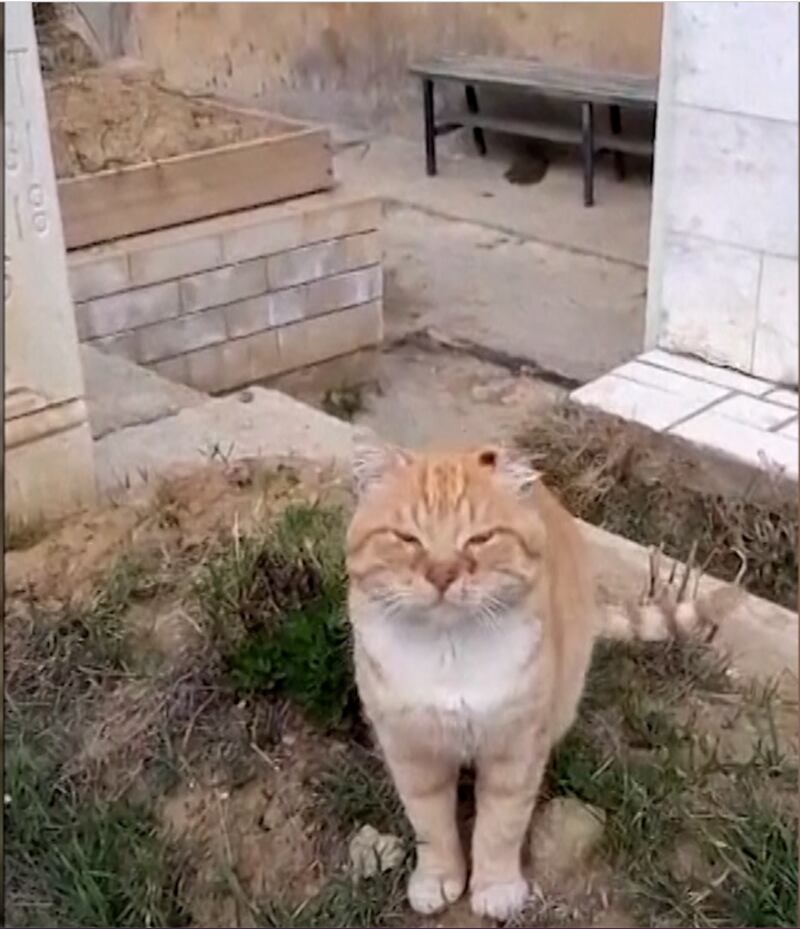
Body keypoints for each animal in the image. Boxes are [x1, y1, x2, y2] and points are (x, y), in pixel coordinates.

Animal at [344, 438, 724, 916]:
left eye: (481, 538)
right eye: (407, 539)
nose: (443, 574)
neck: (449, 654)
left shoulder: (517, 749)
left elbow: (500, 826)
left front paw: (495, 888)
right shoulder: (413, 753)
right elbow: (430, 825)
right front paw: (438, 879)